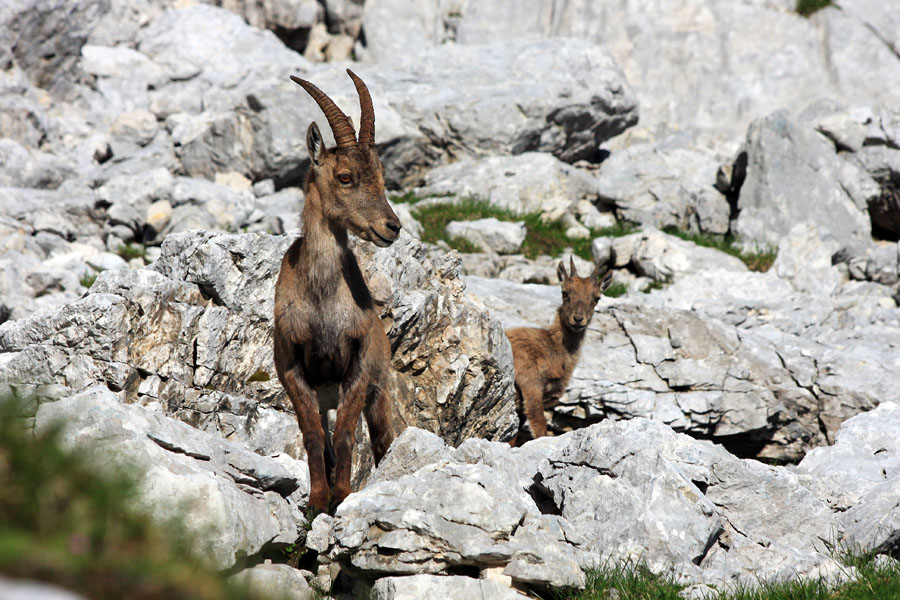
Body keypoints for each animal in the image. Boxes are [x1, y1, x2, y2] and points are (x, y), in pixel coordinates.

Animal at [273, 70, 402, 513]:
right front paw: (316, 500)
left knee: (383, 442)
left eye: (382, 177)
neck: (323, 301)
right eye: (345, 177)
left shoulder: (358, 368)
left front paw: (342, 496)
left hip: (380, 391)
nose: (391, 227)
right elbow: (314, 437)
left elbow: (347, 436)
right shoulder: (293, 368)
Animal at [506, 257, 612, 443]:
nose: (578, 319)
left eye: (597, 298)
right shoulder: (530, 384)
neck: (552, 347)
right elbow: (539, 426)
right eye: (565, 293)